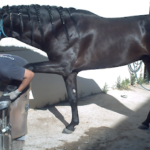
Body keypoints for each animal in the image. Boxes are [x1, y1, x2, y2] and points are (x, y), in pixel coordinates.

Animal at [0, 4, 150, 132]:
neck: (60, 29)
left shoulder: (63, 66)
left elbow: (28, 66)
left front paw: (12, 90)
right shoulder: (70, 73)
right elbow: (73, 98)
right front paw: (72, 125)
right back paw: (145, 124)